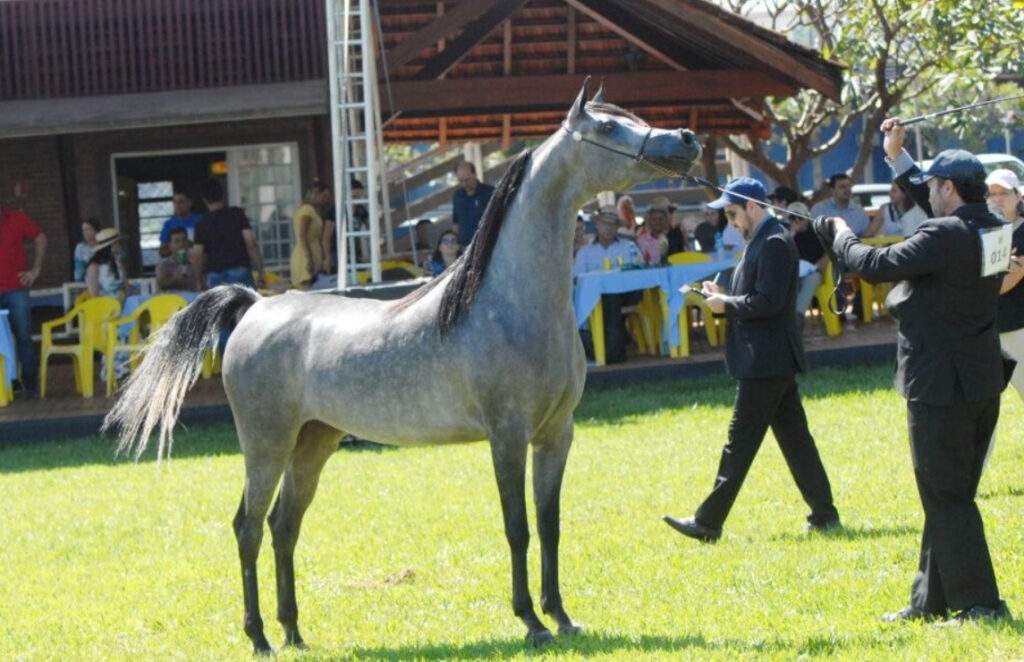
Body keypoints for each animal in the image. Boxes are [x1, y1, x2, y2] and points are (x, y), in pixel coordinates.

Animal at [103, 78, 701, 654]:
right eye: (608, 127)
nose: (687, 140)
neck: (510, 303)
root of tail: (255, 305)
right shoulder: (506, 436)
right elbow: (518, 527)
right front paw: (532, 623)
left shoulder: (557, 434)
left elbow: (549, 525)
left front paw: (563, 617)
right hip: (266, 444)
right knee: (248, 527)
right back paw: (260, 638)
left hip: (314, 441)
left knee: (283, 526)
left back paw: (294, 632)